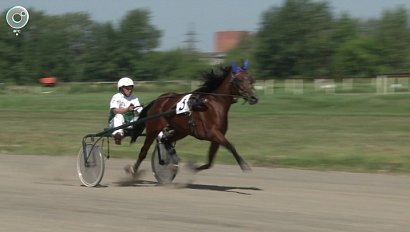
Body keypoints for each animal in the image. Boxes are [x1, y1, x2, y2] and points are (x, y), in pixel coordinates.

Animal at [126, 59, 258, 176]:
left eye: (251, 79)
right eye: (239, 80)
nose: (254, 98)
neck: (214, 105)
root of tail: (158, 100)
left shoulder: (216, 137)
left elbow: (210, 162)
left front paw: (192, 168)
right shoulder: (213, 133)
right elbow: (230, 146)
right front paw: (244, 165)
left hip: (181, 131)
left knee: (166, 140)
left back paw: (171, 164)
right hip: (154, 129)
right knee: (144, 151)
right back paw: (133, 170)